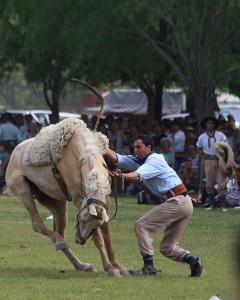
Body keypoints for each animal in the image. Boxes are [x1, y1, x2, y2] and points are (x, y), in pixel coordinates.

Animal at [5, 118, 127, 276]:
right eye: (82, 219)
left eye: (96, 224)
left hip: (56, 202)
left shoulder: (104, 201)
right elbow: (99, 238)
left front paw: (118, 266)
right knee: (38, 224)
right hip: (22, 190)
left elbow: (106, 234)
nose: (80, 240)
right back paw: (61, 243)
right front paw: (109, 268)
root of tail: (12, 156)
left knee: (59, 230)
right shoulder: (78, 198)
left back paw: (81, 265)